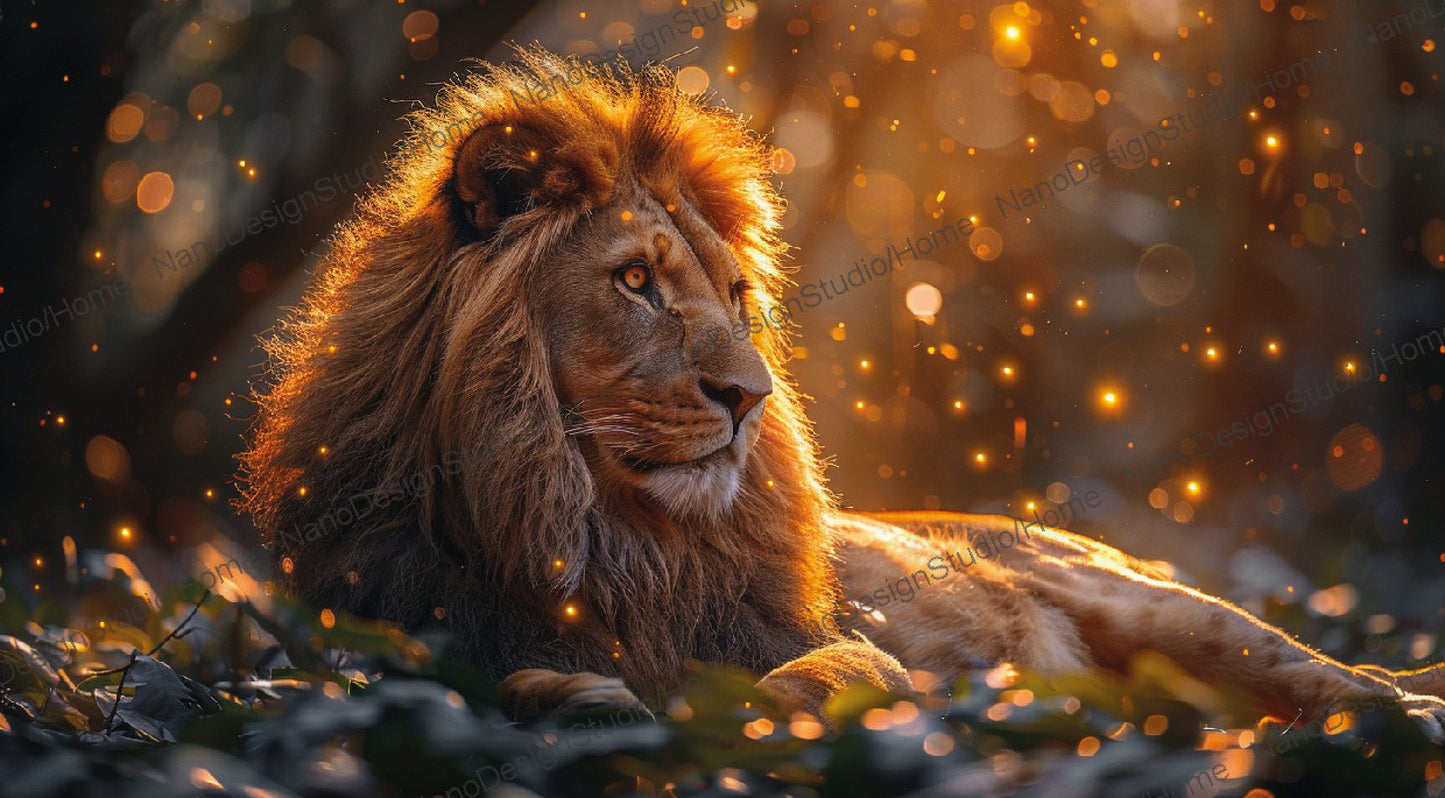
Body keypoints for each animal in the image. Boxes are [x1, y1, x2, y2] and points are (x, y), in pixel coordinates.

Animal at [238, 49, 1445, 741]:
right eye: (634, 283)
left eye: (733, 293)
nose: (748, 396)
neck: (600, 537)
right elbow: (500, 682)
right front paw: (578, 700)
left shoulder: (837, 650)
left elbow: (812, 673)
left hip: (1176, 613)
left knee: (1343, 682)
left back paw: (1401, 711)